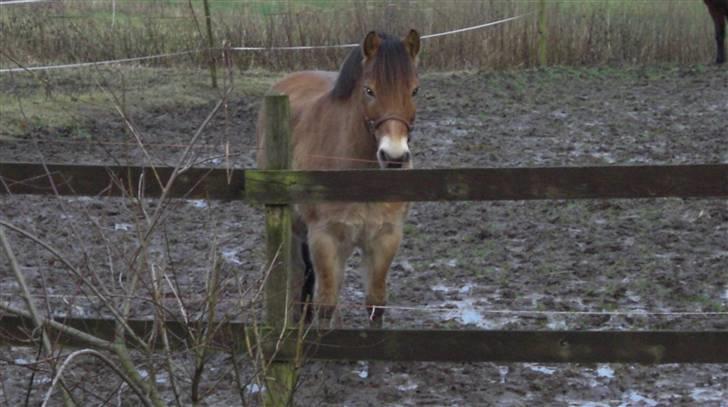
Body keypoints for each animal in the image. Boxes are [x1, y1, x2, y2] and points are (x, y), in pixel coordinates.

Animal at [258, 30, 420, 326]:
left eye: (414, 90)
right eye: (369, 90)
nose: (393, 156)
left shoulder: (386, 239)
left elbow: (375, 304)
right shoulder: (324, 238)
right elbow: (326, 305)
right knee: (297, 278)